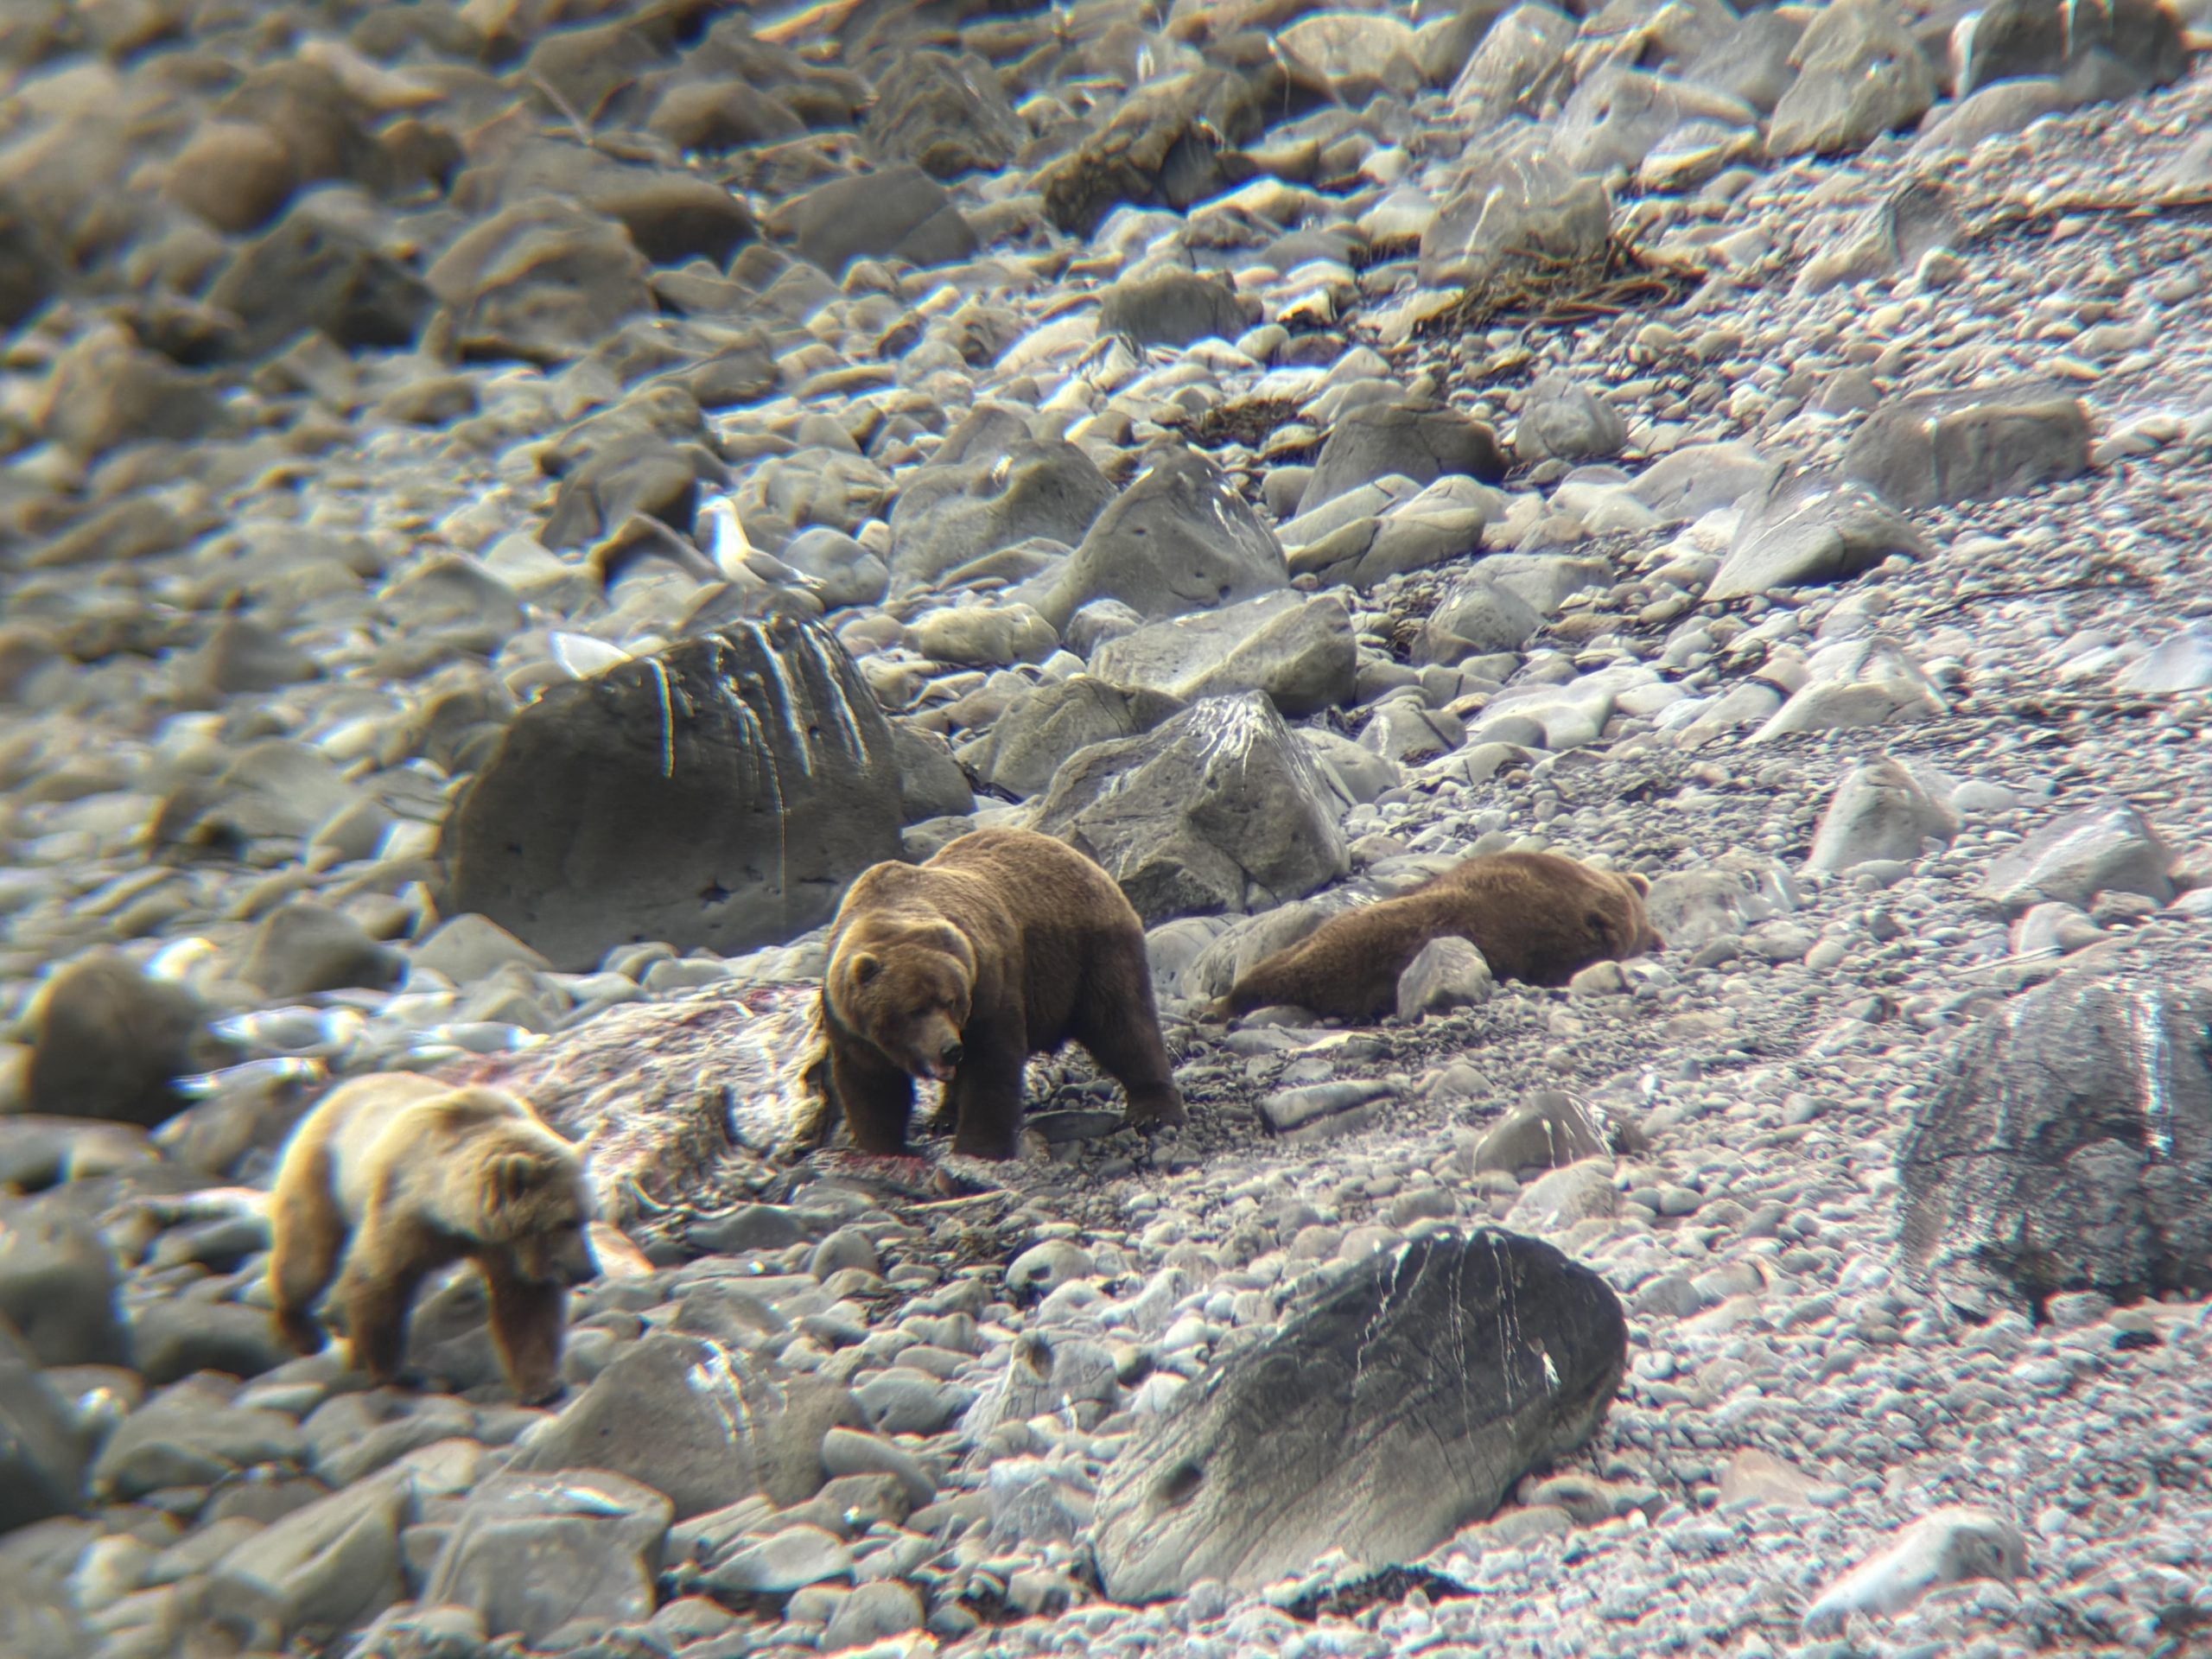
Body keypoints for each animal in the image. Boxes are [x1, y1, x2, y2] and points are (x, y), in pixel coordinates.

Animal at [266, 1073, 597, 1403]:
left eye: (587, 1216)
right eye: (565, 1222)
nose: (589, 1270)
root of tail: (339, 1090)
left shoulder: (505, 1245)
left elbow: (527, 1304)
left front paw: (543, 1385)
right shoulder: (403, 1215)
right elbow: (379, 1281)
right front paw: (396, 1371)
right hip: (321, 1174)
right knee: (307, 1258)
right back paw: (301, 1329)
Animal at [813, 826, 1186, 1161]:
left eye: (950, 1001)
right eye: (914, 1008)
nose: (950, 1048)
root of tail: (1084, 859)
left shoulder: (990, 986)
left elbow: (990, 1067)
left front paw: (978, 1149)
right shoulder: (847, 1023)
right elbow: (871, 1086)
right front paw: (882, 1147)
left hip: (1089, 954)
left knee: (1123, 1024)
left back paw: (1153, 1109)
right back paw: (943, 1117)